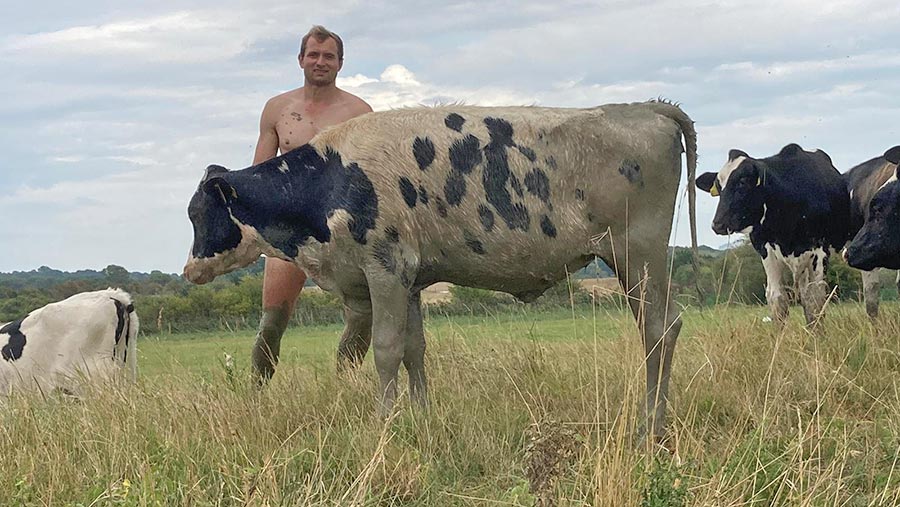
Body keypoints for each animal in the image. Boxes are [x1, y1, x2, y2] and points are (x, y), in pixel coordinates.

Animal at [185, 103, 704, 440]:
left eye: (197, 213)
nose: (189, 270)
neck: (331, 178)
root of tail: (642, 109)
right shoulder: (410, 280)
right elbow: (415, 350)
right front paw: (422, 417)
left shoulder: (386, 268)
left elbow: (387, 351)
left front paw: (384, 423)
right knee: (661, 326)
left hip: (638, 253)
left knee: (658, 328)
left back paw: (650, 428)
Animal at [696, 144, 852, 326]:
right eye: (719, 187)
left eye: (742, 182)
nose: (717, 224)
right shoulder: (767, 251)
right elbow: (777, 298)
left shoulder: (819, 251)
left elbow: (815, 300)